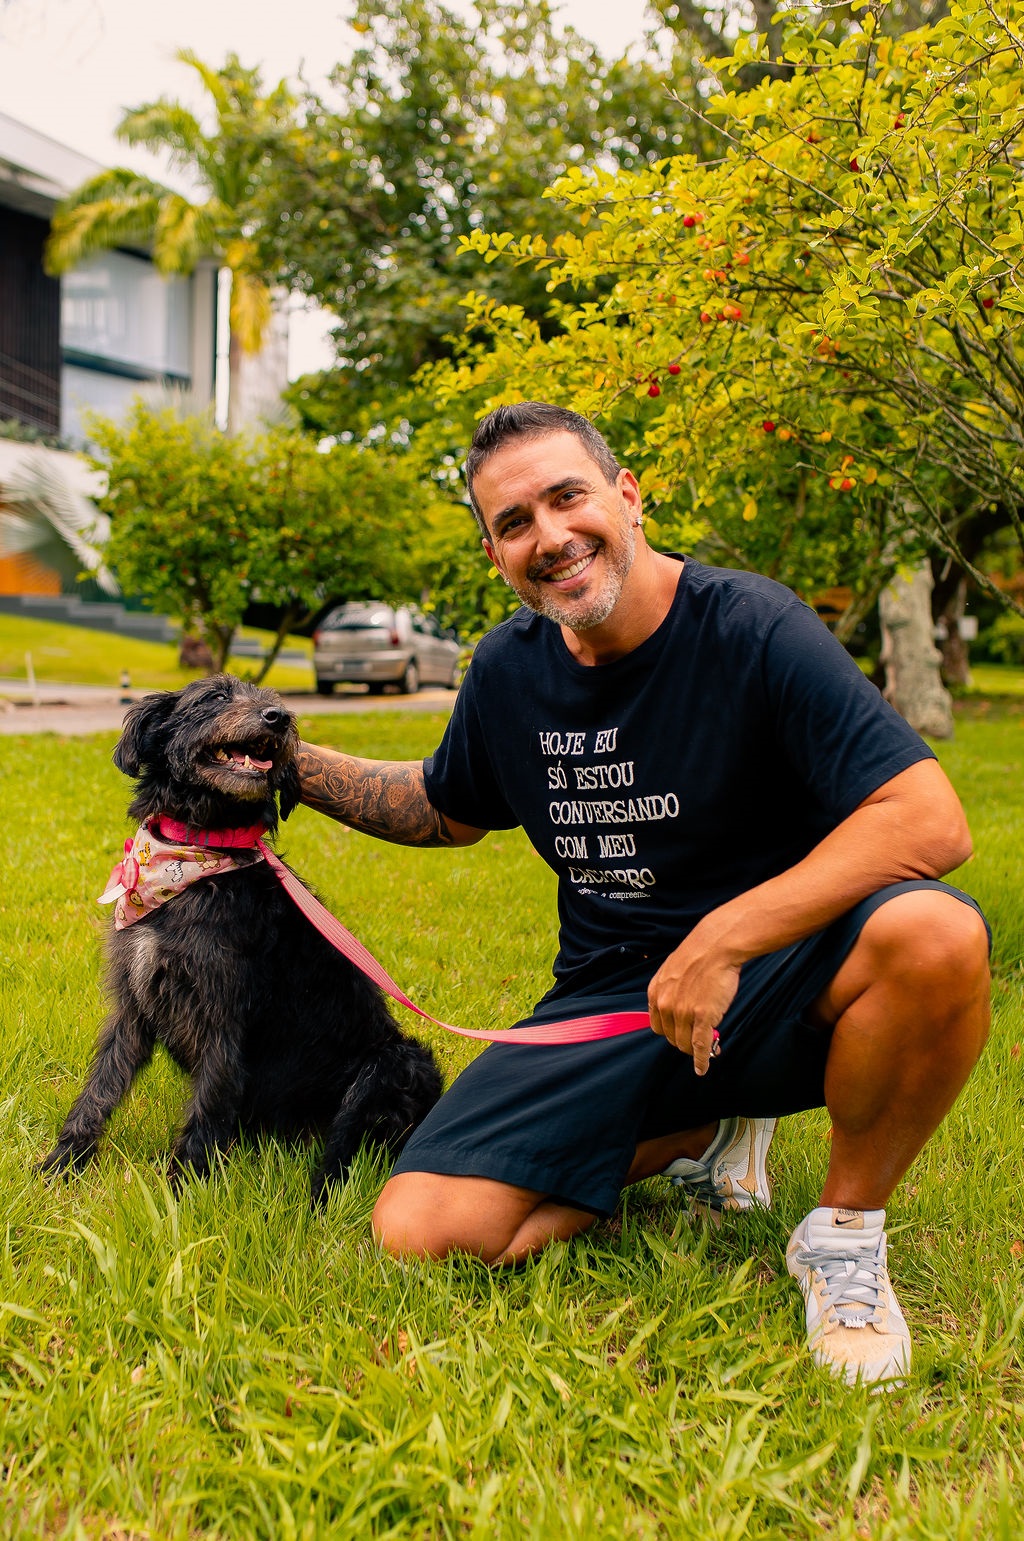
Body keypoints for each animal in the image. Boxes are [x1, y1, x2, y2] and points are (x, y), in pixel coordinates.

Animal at [39, 673, 443, 1203]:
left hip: (394, 1062)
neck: (195, 851)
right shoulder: (134, 1005)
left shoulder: (222, 1016)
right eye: (215, 696)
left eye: (273, 701)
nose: (279, 718)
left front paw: (178, 1197)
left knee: (339, 1161)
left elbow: (207, 1108)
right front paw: (61, 1165)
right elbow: (99, 1090)